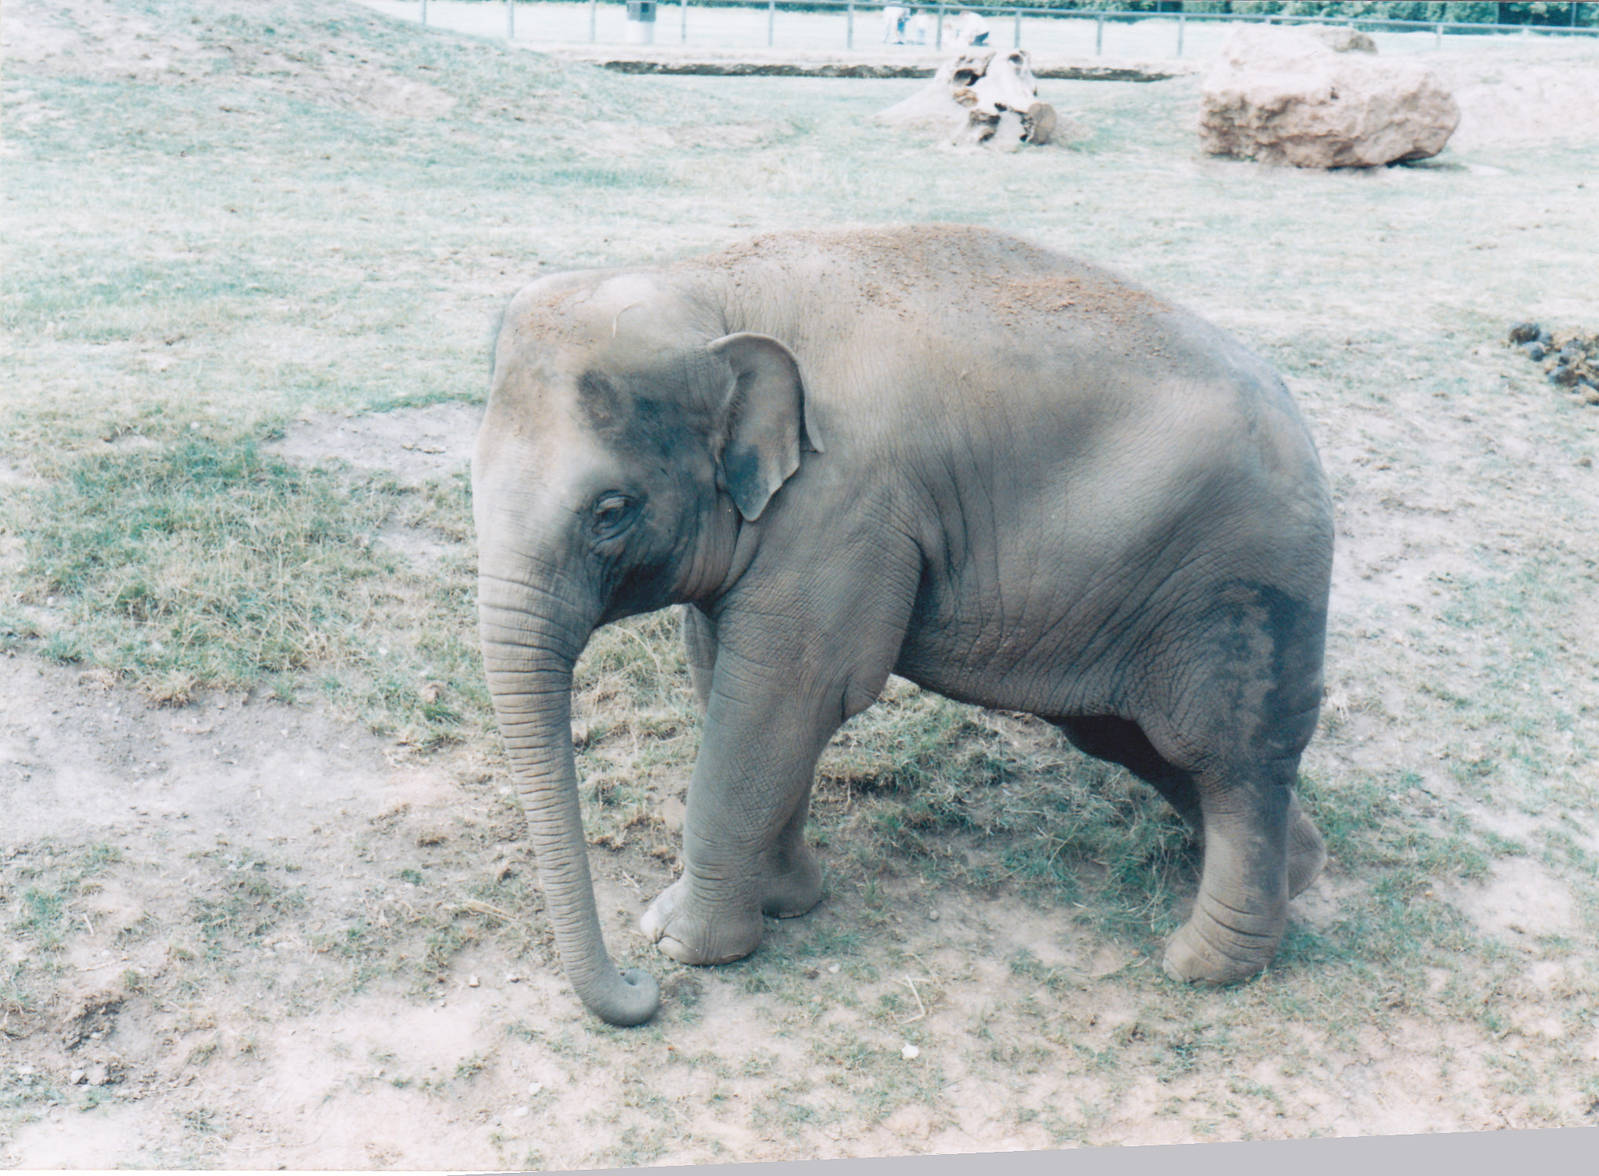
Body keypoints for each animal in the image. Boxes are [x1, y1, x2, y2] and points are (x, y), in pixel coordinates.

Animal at [472, 225, 1334, 1026]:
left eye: (610, 512)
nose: (636, 986)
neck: (708, 286)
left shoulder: (845, 508)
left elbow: (784, 696)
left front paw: (682, 942)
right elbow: (729, 678)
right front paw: (789, 901)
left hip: (1238, 583)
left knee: (1226, 758)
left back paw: (1202, 964)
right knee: (1131, 737)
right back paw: (1292, 872)